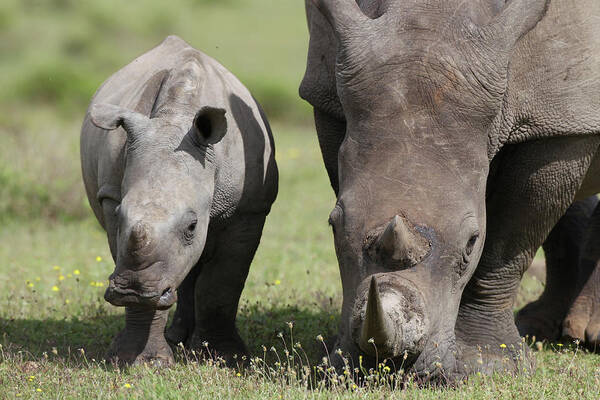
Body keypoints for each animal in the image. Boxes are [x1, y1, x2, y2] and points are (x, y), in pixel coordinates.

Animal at [79, 36, 278, 364]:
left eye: (192, 226)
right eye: (119, 215)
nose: (132, 291)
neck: (175, 119)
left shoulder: (248, 208)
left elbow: (222, 282)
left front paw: (225, 357)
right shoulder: (110, 196)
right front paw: (141, 361)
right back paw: (178, 339)